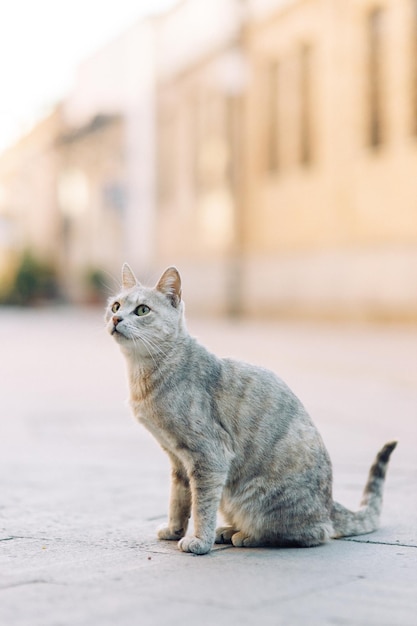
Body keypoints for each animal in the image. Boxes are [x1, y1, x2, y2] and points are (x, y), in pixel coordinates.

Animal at [105, 260, 396, 552]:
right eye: (116, 306)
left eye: (142, 310)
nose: (116, 319)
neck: (146, 372)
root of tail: (330, 505)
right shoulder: (178, 460)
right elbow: (179, 500)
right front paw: (174, 530)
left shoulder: (209, 456)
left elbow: (202, 506)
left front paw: (199, 540)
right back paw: (228, 529)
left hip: (258, 498)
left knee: (309, 534)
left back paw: (245, 535)